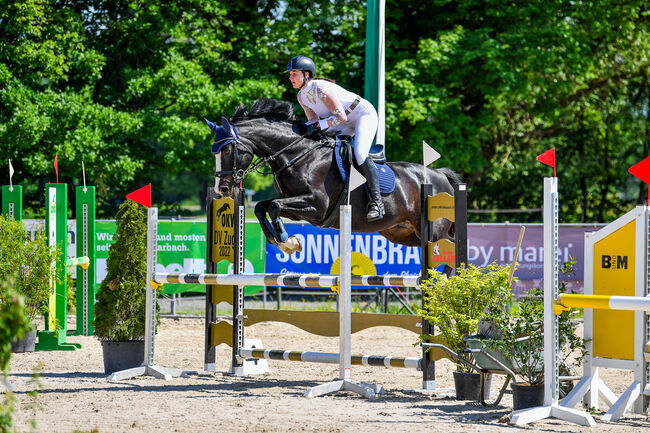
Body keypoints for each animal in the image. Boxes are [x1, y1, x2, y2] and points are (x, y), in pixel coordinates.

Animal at [205, 98, 458, 253]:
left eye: (227, 150)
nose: (222, 189)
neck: (299, 154)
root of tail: (440, 175)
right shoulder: (295, 205)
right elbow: (262, 207)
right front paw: (283, 241)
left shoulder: (317, 207)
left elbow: (274, 206)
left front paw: (287, 240)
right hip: (404, 233)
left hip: (434, 231)